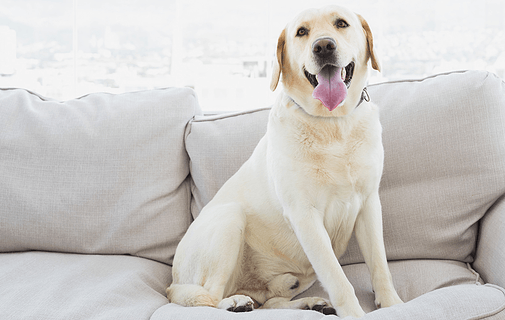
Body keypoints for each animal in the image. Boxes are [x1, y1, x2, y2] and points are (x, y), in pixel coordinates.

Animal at [167, 5, 404, 318]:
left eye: (341, 24)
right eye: (301, 32)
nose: (323, 46)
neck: (332, 124)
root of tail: (171, 282)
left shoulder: (368, 205)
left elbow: (380, 265)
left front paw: (392, 304)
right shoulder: (305, 216)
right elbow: (338, 279)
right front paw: (354, 313)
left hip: (296, 276)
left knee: (271, 303)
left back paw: (311, 302)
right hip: (229, 218)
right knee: (210, 297)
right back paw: (235, 302)